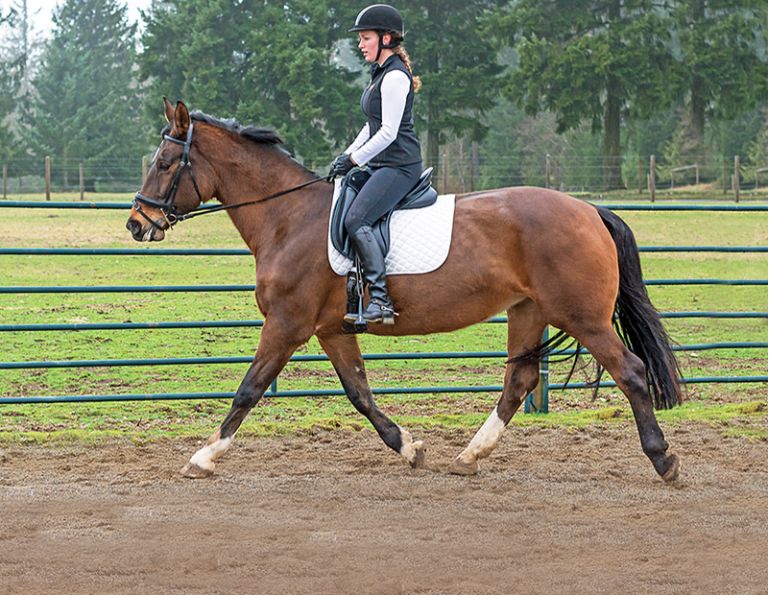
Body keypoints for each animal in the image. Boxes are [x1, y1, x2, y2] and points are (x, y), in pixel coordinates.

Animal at [126, 99, 682, 482]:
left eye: (163, 162)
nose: (137, 223)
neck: (288, 218)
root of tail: (589, 209)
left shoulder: (286, 324)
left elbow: (249, 388)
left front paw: (202, 457)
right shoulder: (332, 330)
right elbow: (360, 394)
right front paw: (409, 447)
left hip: (580, 315)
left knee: (631, 371)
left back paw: (663, 460)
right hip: (528, 310)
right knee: (519, 381)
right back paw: (468, 456)